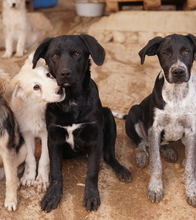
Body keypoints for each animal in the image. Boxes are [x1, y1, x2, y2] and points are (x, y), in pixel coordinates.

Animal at [9, 54, 65, 192]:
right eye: (36, 87)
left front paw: (41, 180)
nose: (60, 90)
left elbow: (44, 159)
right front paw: (28, 176)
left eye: (49, 74)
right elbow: (30, 158)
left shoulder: (47, 134)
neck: (36, 110)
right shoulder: (27, 133)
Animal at [32, 34, 132, 213]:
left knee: (108, 155)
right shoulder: (54, 138)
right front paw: (52, 195)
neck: (71, 100)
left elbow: (92, 172)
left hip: (108, 116)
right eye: (54, 56)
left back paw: (121, 170)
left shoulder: (95, 138)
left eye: (77, 54)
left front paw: (91, 196)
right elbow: (56, 171)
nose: (65, 73)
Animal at [125, 33, 196, 207]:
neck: (176, 94)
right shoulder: (154, 129)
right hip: (134, 111)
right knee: (142, 142)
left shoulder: (191, 130)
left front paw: (192, 191)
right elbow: (156, 163)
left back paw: (171, 152)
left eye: (187, 51)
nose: (178, 72)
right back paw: (142, 155)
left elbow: (190, 167)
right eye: (165, 53)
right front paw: (156, 188)